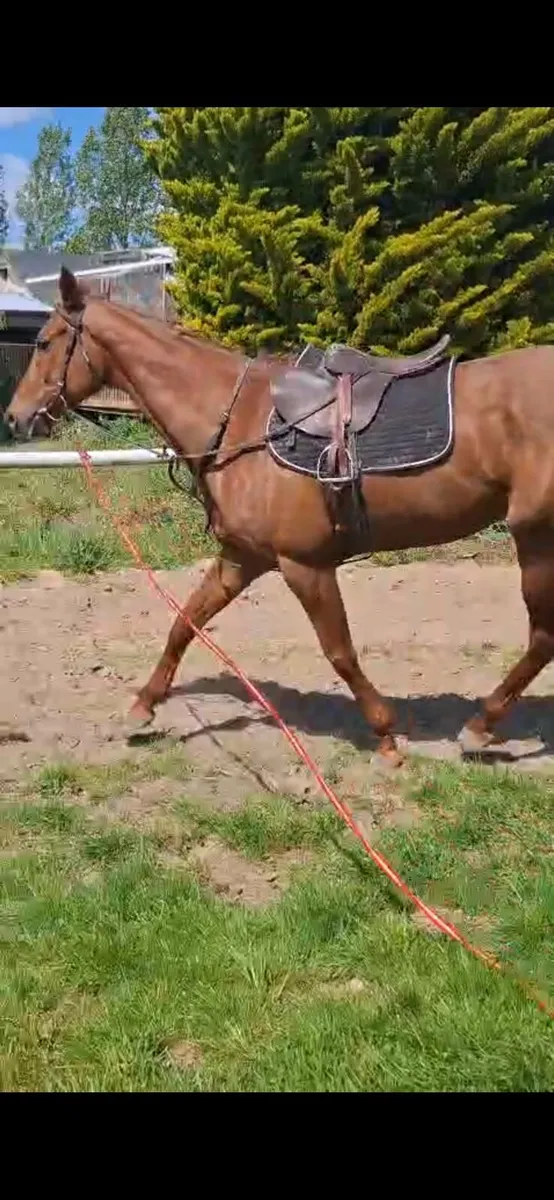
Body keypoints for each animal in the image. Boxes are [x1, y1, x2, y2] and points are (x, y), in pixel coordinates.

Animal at [6, 265, 554, 767]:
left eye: (44, 342)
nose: (15, 417)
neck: (239, 421)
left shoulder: (303, 565)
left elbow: (340, 651)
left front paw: (385, 735)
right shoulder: (241, 557)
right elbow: (185, 621)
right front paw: (144, 705)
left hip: (534, 536)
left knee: (542, 638)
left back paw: (480, 727)